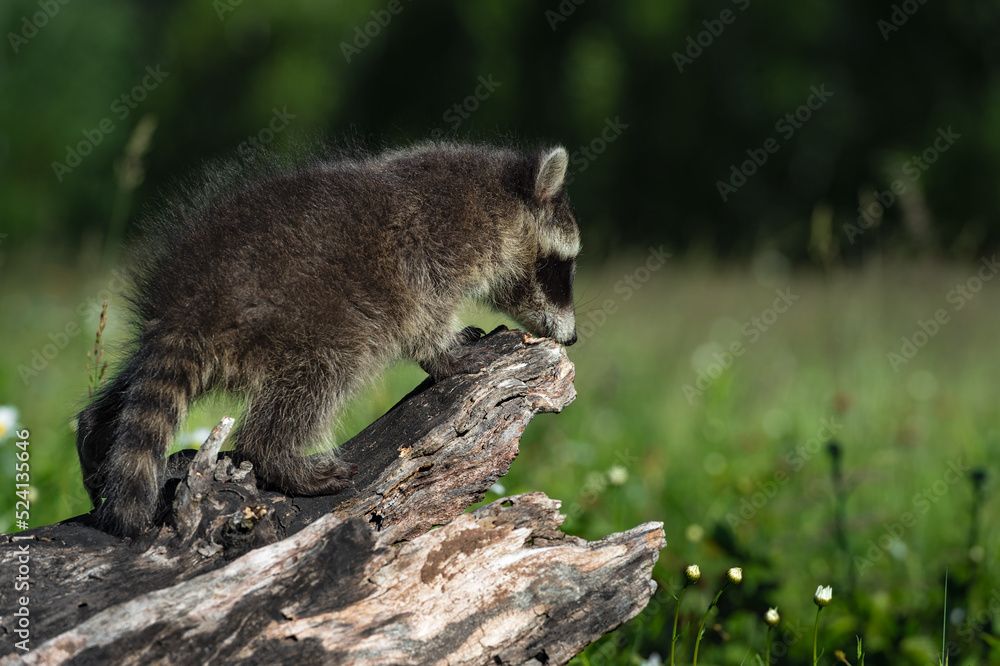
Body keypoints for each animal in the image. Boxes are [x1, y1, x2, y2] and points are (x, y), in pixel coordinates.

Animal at [76, 142, 581, 538]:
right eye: (561, 267)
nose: (573, 337)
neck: (497, 196)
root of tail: (185, 306)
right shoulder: (432, 245)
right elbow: (423, 313)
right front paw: (446, 353)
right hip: (299, 315)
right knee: (326, 372)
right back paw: (275, 455)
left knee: (129, 386)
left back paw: (96, 431)